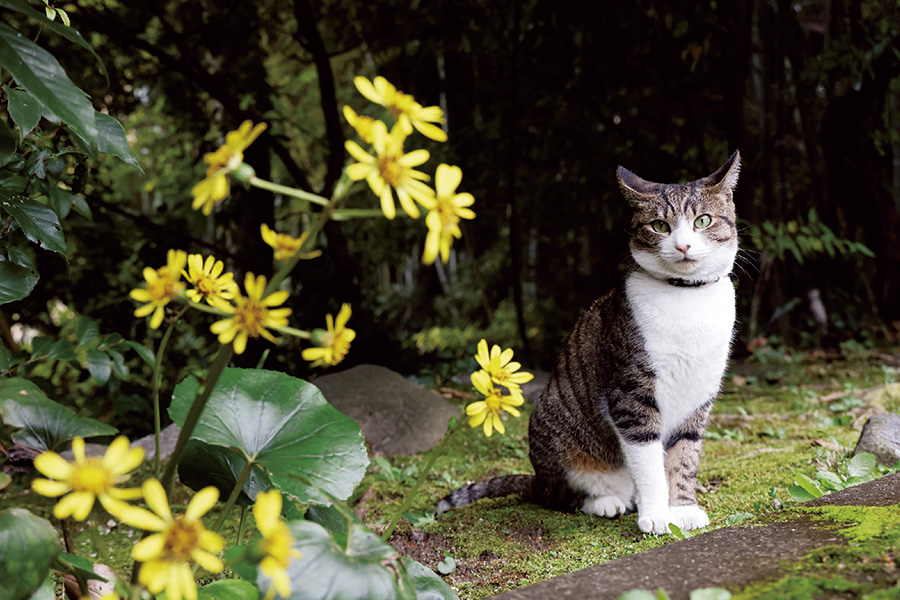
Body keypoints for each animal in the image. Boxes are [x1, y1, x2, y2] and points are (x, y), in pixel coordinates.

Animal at [434, 150, 740, 536]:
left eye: (703, 221)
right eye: (659, 226)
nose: (683, 245)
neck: (687, 299)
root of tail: (537, 479)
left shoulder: (698, 396)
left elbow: (684, 458)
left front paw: (682, 508)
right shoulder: (631, 393)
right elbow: (649, 461)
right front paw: (657, 515)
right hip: (555, 435)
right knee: (559, 496)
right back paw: (605, 502)